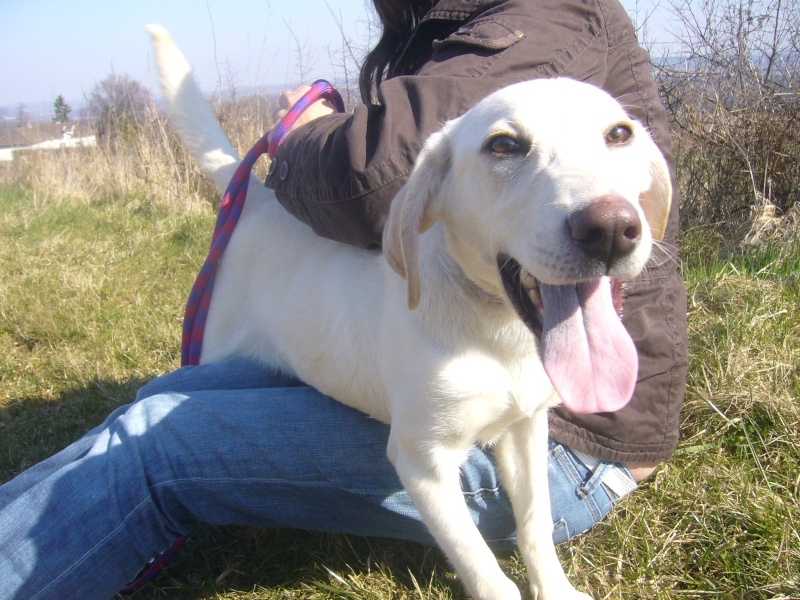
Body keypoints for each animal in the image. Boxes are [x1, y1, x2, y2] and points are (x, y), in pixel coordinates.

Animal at [148, 24, 668, 600]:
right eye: (504, 145)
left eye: (619, 134)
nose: (610, 227)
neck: (497, 332)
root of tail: (260, 202)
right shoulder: (423, 460)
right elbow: (481, 565)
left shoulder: (526, 428)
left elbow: (534, 523)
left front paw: (554, 589)